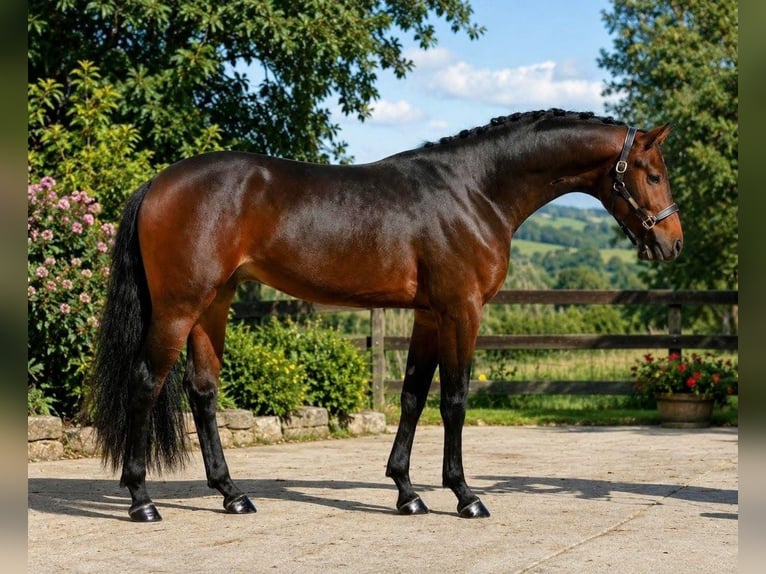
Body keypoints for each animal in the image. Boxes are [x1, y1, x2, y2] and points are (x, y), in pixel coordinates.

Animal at [88, 109, 682, 522]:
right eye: (652, 174)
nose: (673, 243)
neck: (474, 190)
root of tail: (158, 183)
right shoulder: (461, 311)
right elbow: (455, 400)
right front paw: (465, 495)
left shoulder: (429, 316)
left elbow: (413, 397)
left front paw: (406, 492)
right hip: (179, 307)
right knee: (145, 383)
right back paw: (141, 499)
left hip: (215, 303)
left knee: (203, 390)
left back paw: (232, 494)